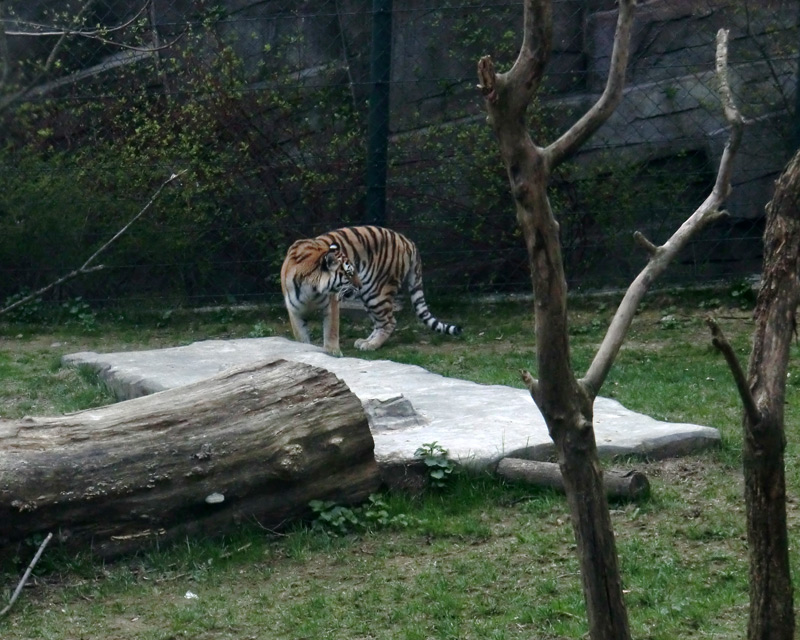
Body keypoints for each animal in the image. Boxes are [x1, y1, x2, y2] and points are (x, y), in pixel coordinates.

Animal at [282, 225, 462, 356]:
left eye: (353, 271)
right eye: (349, 273)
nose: (359, 284)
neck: (311, 288)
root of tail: (408, 240)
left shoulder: (331, 305)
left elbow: (331, 331)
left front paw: (333, 353)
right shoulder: (295, 310)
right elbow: (301, 337)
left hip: (376, 293)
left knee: (389, 322)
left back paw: (371, 345)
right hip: (370, 298)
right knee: (381, 323)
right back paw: (365, 342)